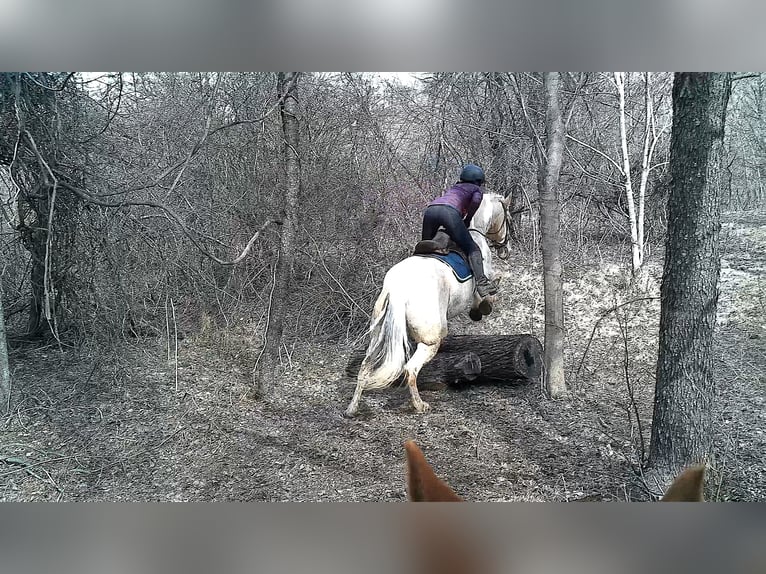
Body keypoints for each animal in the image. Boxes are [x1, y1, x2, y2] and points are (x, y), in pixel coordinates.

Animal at [344, 193, 509, 418]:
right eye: (507, 217)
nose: (504, 249)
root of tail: (398, 289)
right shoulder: (484, 275)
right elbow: (486, 292)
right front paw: (483, 308)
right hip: (431, 339)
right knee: (410, 369)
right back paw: (419, 405)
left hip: (378, 334)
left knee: (365, 365)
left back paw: (352, 408)